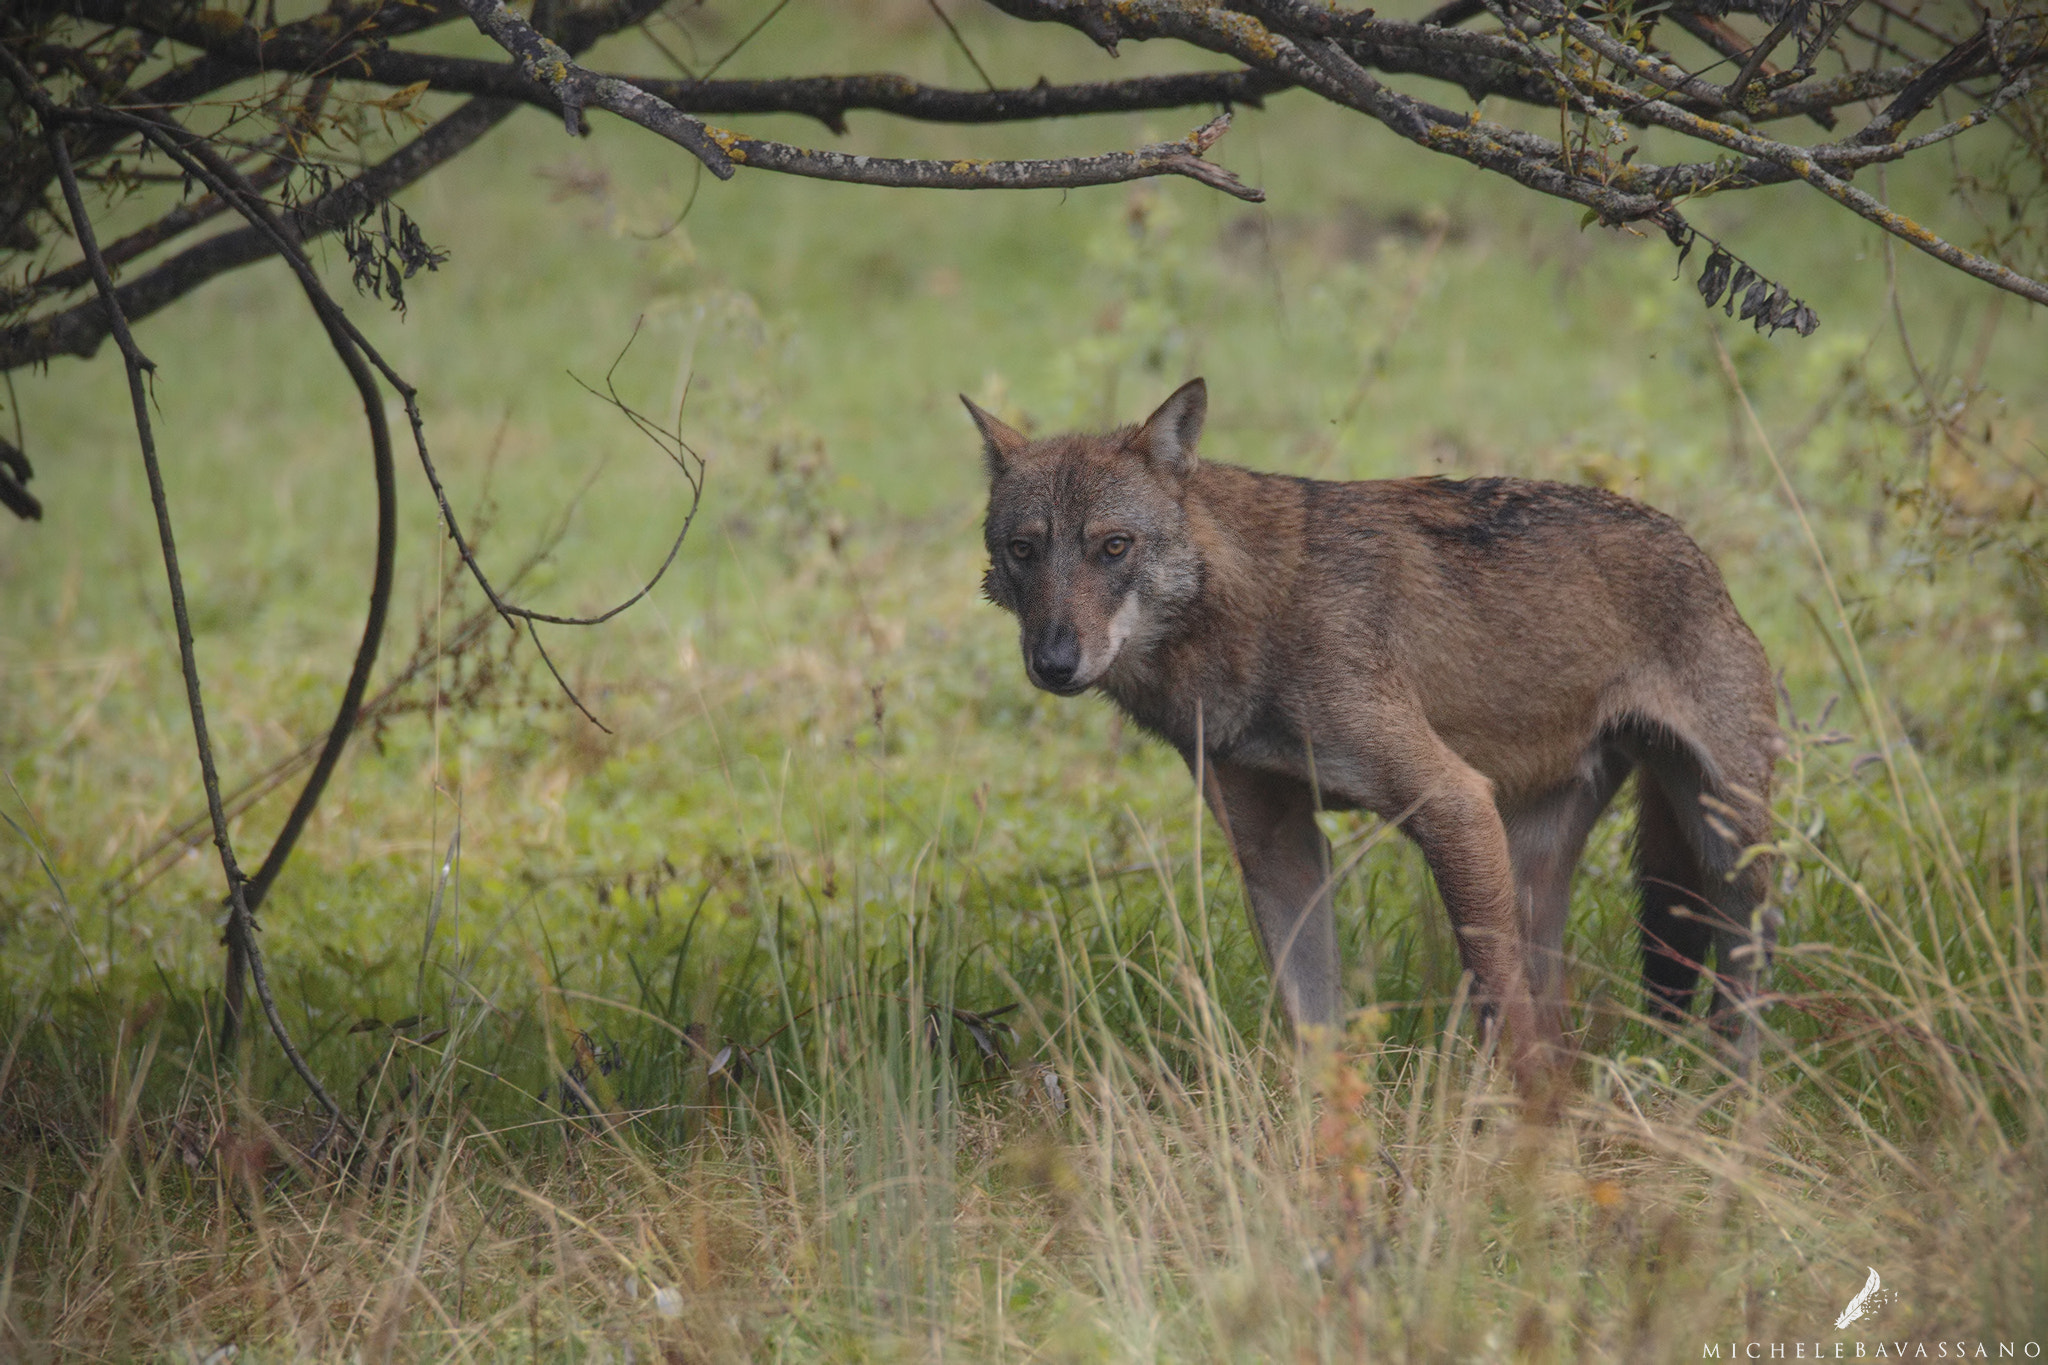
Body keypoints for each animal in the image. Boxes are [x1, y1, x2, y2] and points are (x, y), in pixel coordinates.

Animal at [965, 378, 1781, 1086]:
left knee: (1742, 984)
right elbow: (1313, 1023)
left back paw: (1736, 1100)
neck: (1252, 613)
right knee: (1562, 1020)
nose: (1054, 662)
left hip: (1729, 850)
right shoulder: (1277, 848)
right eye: (1023, 550)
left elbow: (1498, 1006)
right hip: (1534, 869)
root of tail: (1693, 548)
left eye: (1113, 546)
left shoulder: (1454, 802)